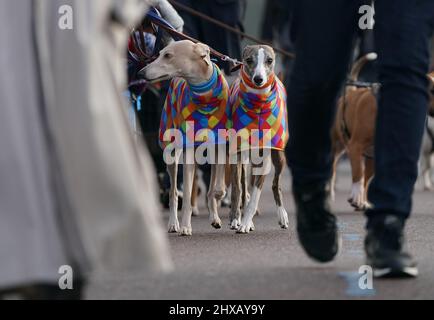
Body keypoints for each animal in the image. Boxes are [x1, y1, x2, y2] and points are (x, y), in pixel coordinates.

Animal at [330, 54, 432, 210]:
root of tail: (352, 90)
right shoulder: (355, 147)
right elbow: (358, 174)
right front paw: (356, 195)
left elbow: (365, 179)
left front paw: (361, 199)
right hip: (336, 148)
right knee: (333, 171)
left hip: (372, 159)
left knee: (367, 179)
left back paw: (363, 202)